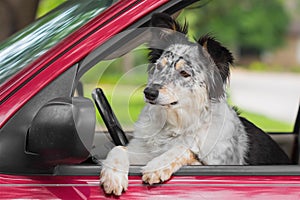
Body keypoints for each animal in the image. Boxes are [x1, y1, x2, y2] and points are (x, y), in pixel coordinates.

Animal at [99, 12, 290, 195]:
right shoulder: (140, 149)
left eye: (184, 73)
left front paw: (157, 166)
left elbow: (185, 149)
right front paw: (112, 175)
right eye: (159, 66)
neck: (176, 124)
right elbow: (118, 148)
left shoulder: (216, 163)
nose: (149, 92)